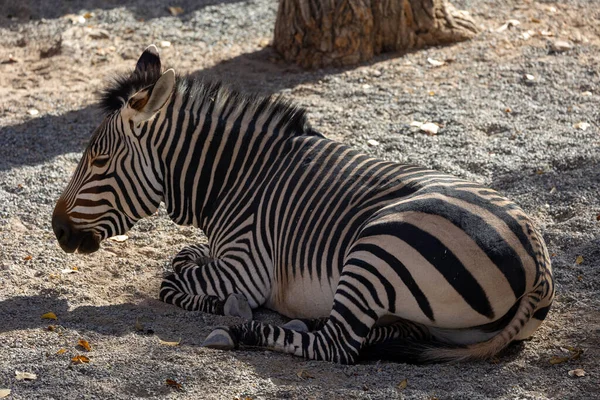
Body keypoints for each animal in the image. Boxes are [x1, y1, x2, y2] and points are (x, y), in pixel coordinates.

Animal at [51, 45, 552, 364]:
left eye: (98, 161)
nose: (57, 228)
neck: (237, 178)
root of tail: (538, 268)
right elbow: (183, 256)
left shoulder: (246, 268)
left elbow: (171, 280)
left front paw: (223, 303)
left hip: (374, 250)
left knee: (337, 347)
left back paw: (243, 331)